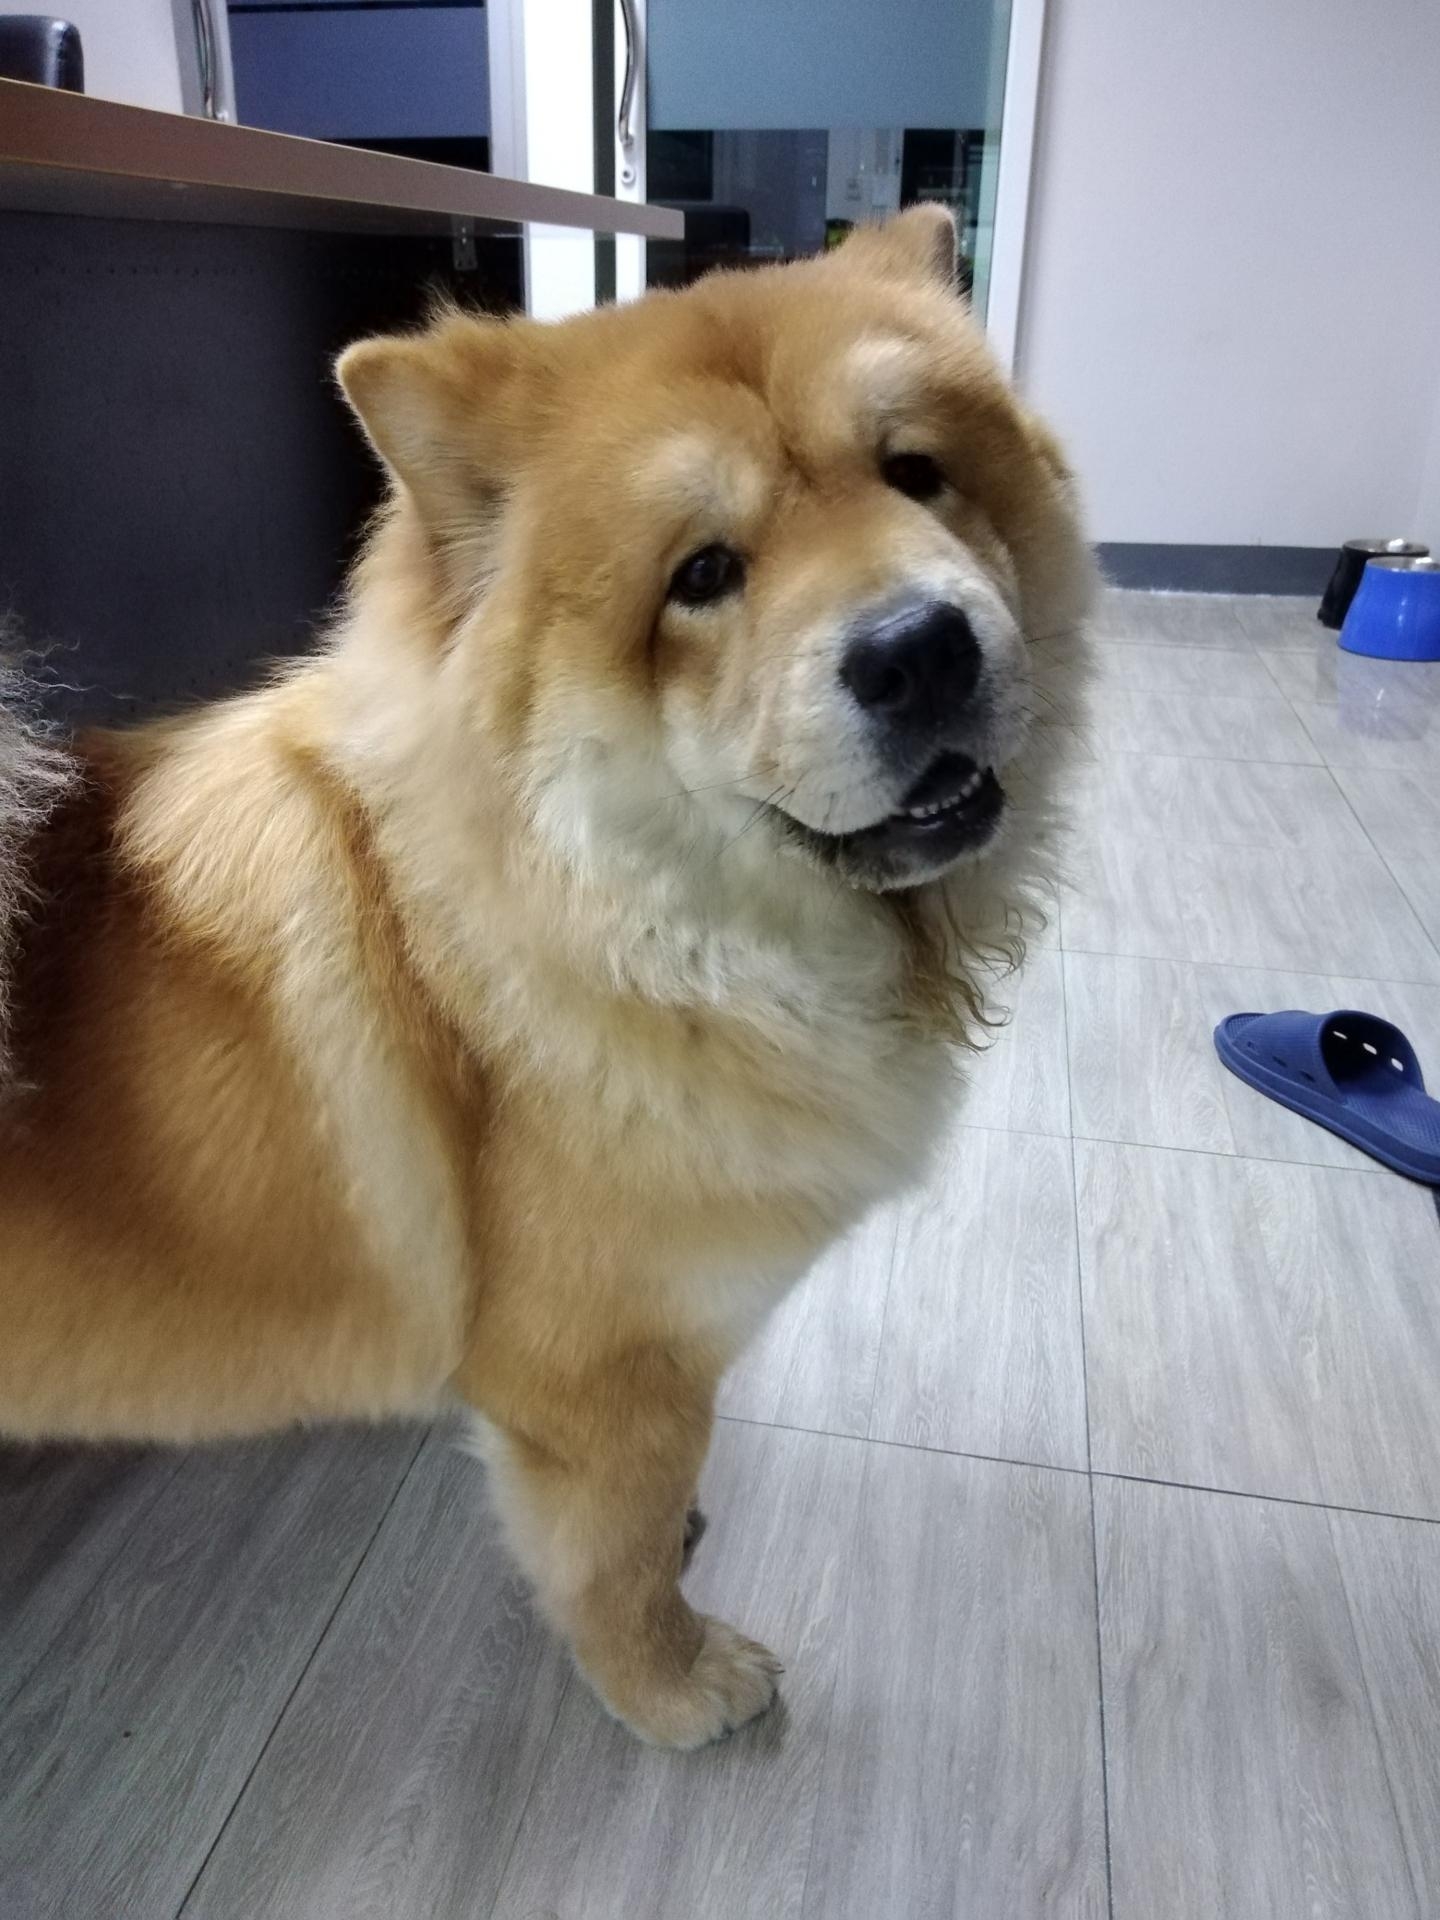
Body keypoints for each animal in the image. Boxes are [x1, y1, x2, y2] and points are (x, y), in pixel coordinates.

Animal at [0, 206, 1093, 1747]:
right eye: (703, 575)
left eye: (917, 474)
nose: (920, 648)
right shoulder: (604, 1380)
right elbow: (617, 1562)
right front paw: (680, 1688)